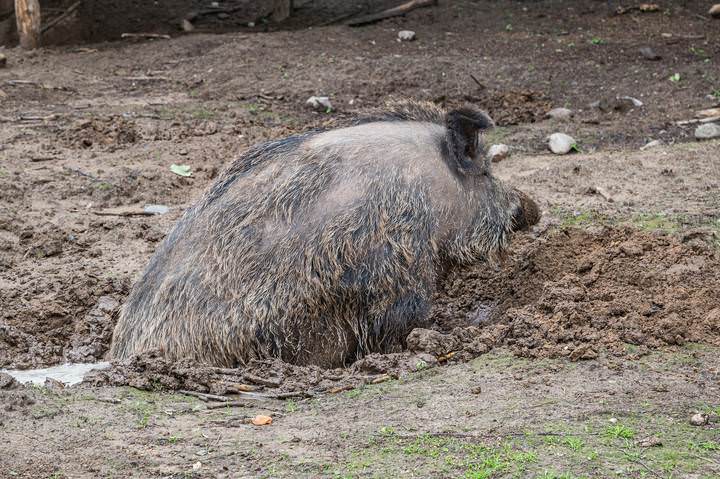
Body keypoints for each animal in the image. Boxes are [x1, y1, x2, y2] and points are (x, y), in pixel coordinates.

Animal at [109, 100, 540, 368]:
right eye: (485, 171)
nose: (533, 209)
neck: (427, 191)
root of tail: (122, 353)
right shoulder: (398, 267)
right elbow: (400, 326)